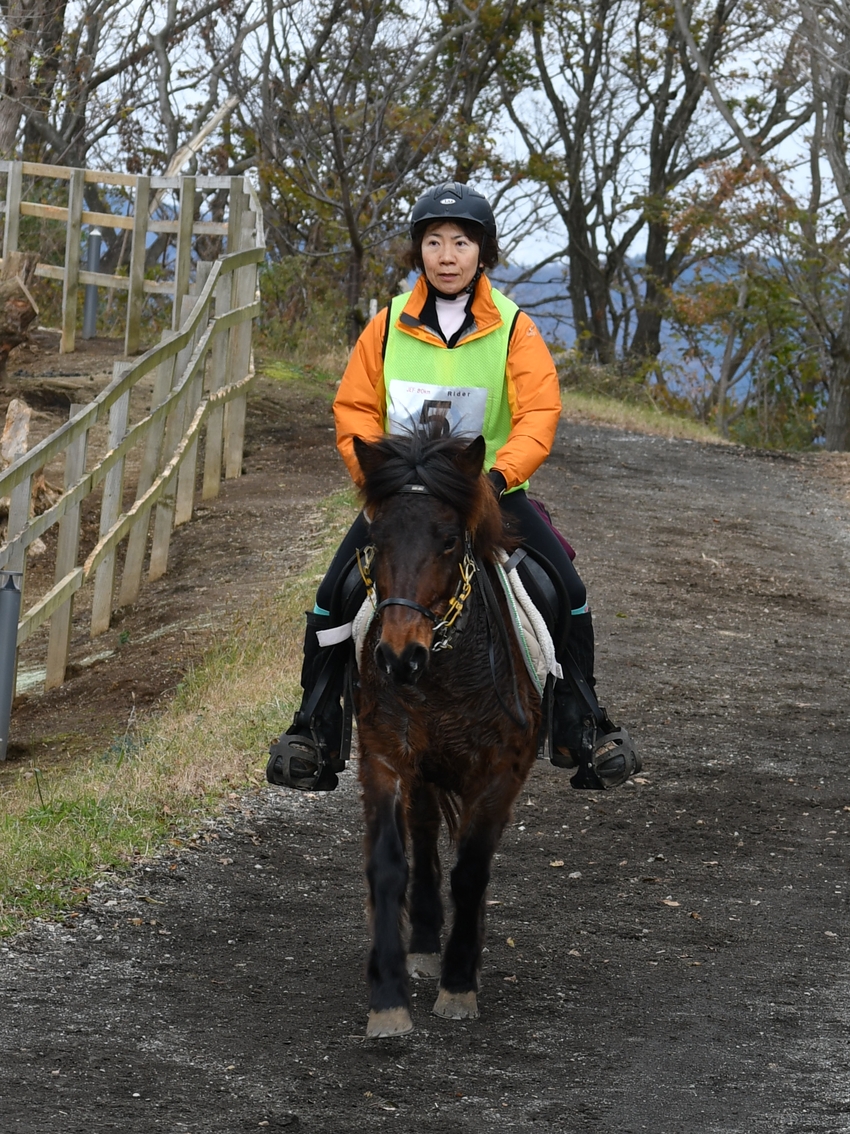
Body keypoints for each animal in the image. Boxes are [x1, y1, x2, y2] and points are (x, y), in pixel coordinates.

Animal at [351, 429, 543, 1038]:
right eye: (375, 536)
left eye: (450, 540)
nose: (397, 656)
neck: (441, 677)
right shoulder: (385, 757)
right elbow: (390, 866)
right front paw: (388, 998)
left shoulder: (500, 772)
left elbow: (473, 870)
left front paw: (459, 984)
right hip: (423, 772)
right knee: (425, 836)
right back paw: (424, 944)